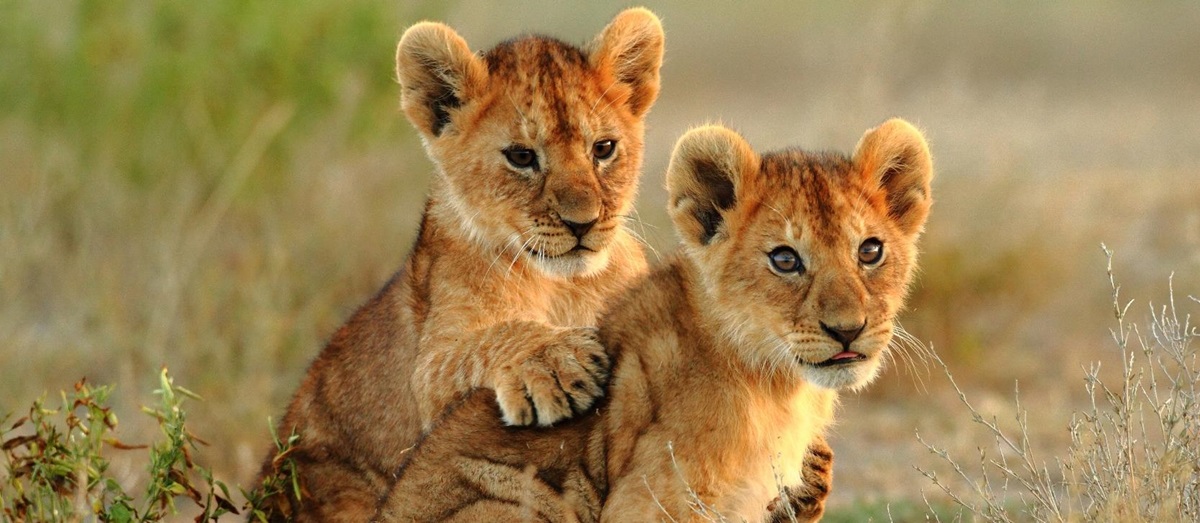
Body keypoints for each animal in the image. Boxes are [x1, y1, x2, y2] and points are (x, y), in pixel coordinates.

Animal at [254, 9, 665, 521]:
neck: (565, 286)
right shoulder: (429, 372)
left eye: (603, 149)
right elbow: (485, 342)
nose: (583, 223)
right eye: (522, 156)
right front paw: (555, 361)